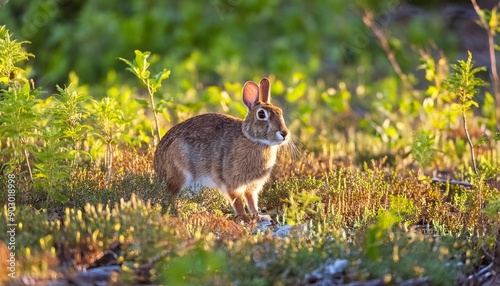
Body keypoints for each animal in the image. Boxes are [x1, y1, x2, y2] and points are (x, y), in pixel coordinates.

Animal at [155, 77, 290, 220]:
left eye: (279, 112)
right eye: (261, 114)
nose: (284, 134)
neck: (254, 140)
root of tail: (158, 165)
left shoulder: (251, 188)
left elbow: (252, 201)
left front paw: (258, 217)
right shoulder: (231, 183)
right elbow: (237, 201)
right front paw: (244, 217)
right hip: (180, 173)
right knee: (171, 197)